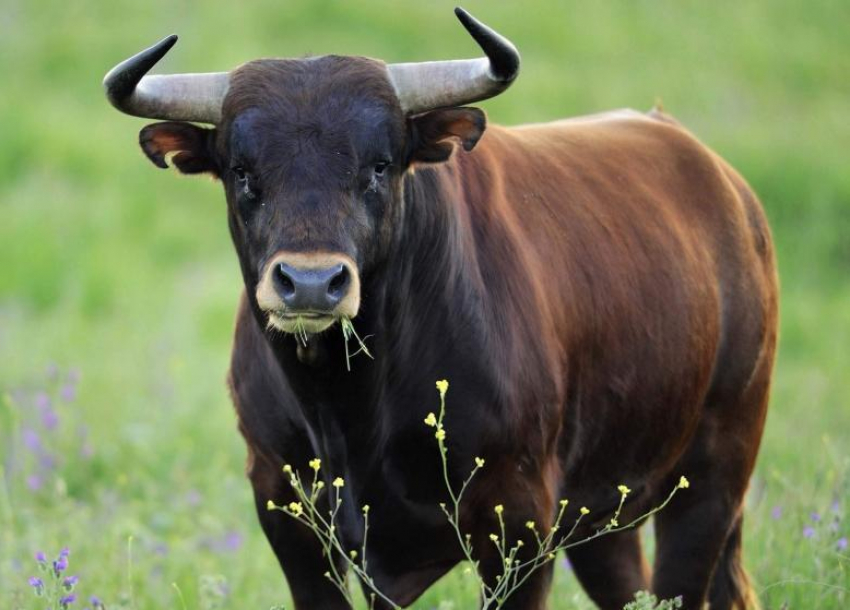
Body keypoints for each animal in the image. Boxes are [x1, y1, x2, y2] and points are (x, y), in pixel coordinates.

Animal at [104, 9, 776, 608]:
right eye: (242, 171)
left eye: (379, 165)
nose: (313, 283)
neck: (349, 408)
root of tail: (726, 186)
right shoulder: (289, 517)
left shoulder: (519, 526)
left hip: (713, 478)